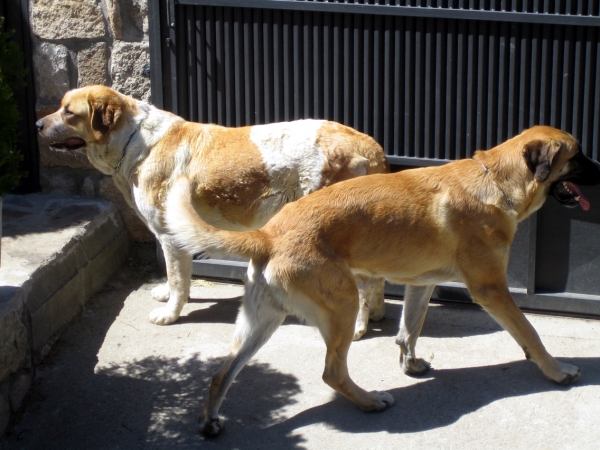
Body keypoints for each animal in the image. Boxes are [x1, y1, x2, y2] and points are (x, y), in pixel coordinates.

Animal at [35, 85, 390, 334]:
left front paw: (171, 314)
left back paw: (359, 326)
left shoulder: (170, 238)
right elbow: (176, 278)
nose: (37, 123)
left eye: (68, 112)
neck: (134, 140)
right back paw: (376, 314)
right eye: (61, 107)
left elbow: (178, 280)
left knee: (362, 285)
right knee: (376, 281)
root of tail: (370, 145)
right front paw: (165, 295)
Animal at [164, 125, 600, 436]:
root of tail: (268, 235)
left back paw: (209, 420)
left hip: (261, 322)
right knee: (332, 372)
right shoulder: (491, 289)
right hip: (341, 307)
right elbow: (530, 333)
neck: (496, 181)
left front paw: (409, 363)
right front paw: (557, 371)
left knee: (221, 373)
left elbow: (410, 328)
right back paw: (369, 401)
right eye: (578, 155)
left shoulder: (421, 284)